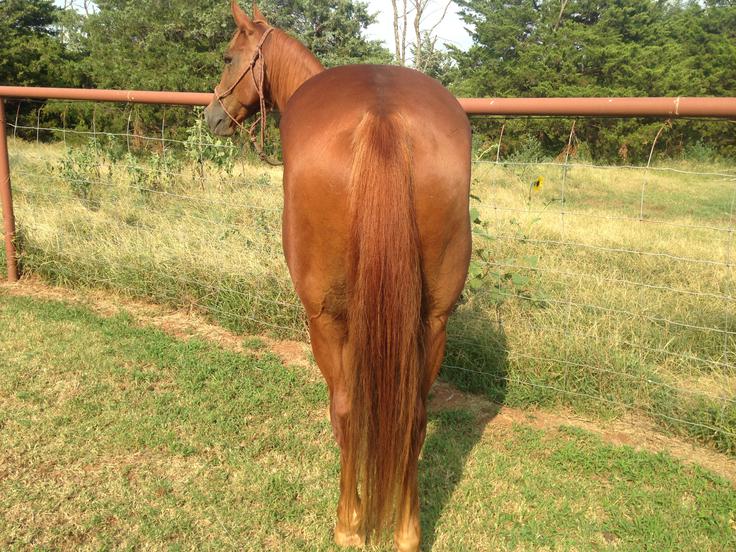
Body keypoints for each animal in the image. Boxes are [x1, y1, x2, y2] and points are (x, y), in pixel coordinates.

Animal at [205, 3, 471, 550]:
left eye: (228, 57)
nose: (213, 114)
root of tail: (382, 117)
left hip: (325, 319)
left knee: (347, 412)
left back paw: (349, 523)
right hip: (434, 319)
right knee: (414, 416)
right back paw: (407, 530)